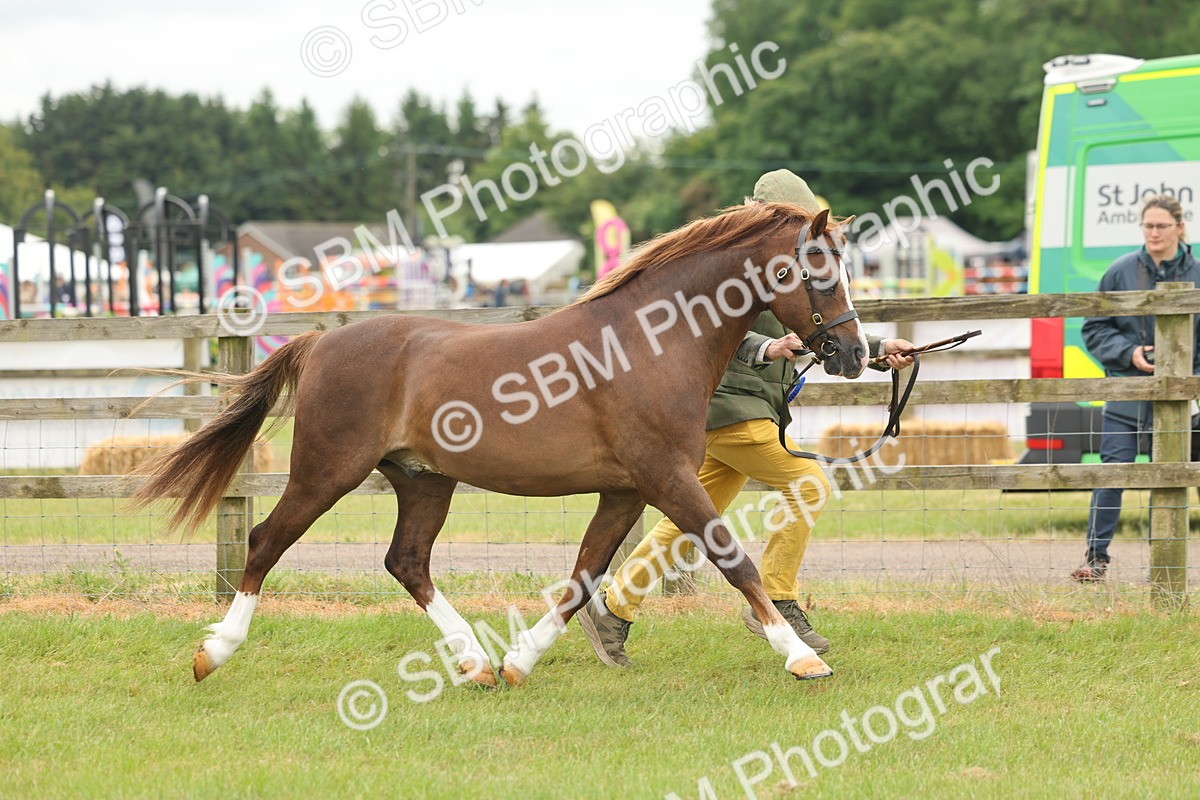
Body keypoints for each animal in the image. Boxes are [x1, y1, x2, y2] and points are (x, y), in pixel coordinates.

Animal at [132, 202, 868, 687]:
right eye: (818, 270)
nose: (856, 354)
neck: (649, 343)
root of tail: (320, 343)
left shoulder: (627, 490)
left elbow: (583, 577)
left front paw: (519, 661)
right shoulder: (666, 479)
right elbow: (733, 561)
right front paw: (802, 657)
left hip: (424, 480)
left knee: (407, 562)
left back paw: (474, 662)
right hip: (326, 472)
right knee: (264, 544)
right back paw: (213, 653)